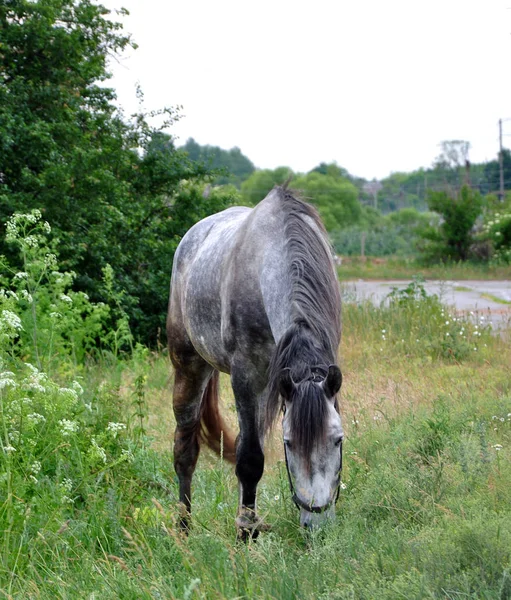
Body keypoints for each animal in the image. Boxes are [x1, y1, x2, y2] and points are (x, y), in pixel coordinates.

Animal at [168, 184, 344, 536]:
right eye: (289, 443)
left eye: (338, 440)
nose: (316, 526)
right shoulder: (246, 376)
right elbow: (250, 460)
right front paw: (246, 533)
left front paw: (247, 525)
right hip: (189, 366)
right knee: (185, 449)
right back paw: (183, 526)